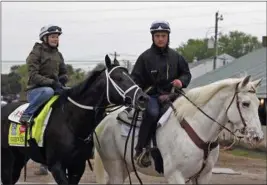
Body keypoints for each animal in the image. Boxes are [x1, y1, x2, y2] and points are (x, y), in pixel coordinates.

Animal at [1, 55, 149, 185]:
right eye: (118, 78)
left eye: (131, 77)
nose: (142, 98)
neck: (70, 121)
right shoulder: (56, 166)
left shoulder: (77, 166)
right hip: (7, 158)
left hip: (20, 159)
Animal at [93, 76, 264, 184]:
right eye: (246, 103)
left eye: (259, 103)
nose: (257, 137)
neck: (198, 128)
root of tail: (103, 121)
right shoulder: (175, 175)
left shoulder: (203, 176)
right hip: (114, 166)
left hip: (125, 166)